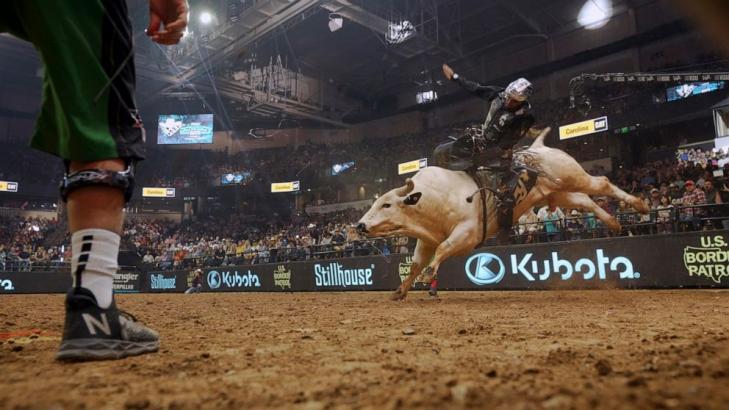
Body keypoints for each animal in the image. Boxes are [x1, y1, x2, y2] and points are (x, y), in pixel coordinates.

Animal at [356, 128, 644, 302]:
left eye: (387, 205)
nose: (359, 226)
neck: (435, 199)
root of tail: (539, 148)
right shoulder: (427, 239)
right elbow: (416, 263)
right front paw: (400, 290)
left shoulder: (468, 234)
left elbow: (442, 250)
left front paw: (430, 279)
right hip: (558, 193)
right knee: (586, 200)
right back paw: (614, 224)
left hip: (574, 175)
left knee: (603, 184)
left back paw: (639, 205)